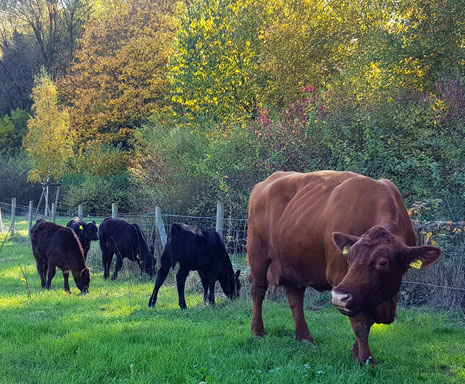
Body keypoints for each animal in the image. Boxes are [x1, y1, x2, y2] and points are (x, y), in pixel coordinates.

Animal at [246, 170, 438, 364]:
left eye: (383, 262)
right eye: (349, 257)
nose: (338, 296)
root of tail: (265, 182)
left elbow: (366, 319)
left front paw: (355, 352)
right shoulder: (340, 278)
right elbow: (361, 323)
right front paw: (365, 358)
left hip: (293, 261)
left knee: (295, 296)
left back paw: (304, 337)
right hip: (257, 254)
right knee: (258, 289)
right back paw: (258, 331)